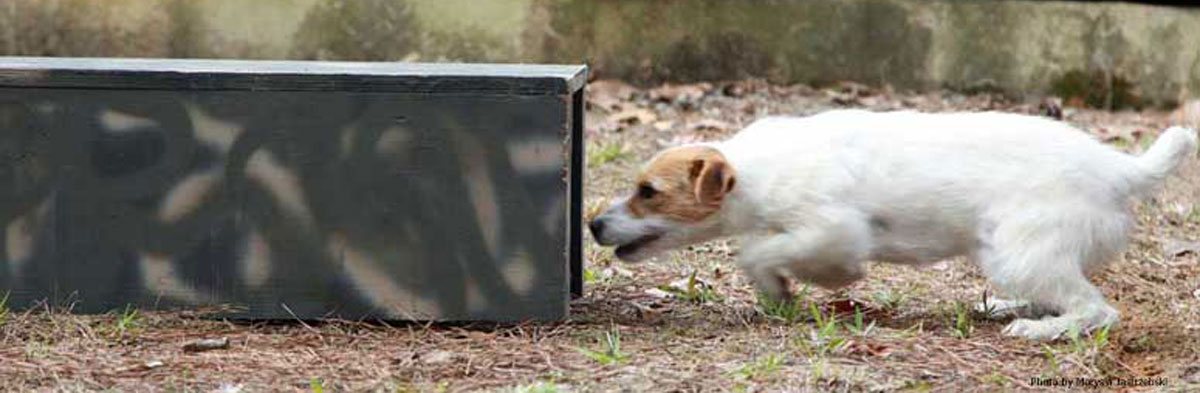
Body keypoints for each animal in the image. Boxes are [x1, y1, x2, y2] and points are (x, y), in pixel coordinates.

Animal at [592, 109, 1200, 340]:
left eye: (648, 193)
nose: (595, 225)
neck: (754, 171)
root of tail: (1119, 168)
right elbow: (760, 248)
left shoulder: (836, 232)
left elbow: (757, 253)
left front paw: (782, 289)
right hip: (1011, 256)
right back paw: (1009, 308)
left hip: (1018, 251)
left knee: (1097, 311)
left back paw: (1039, 329)